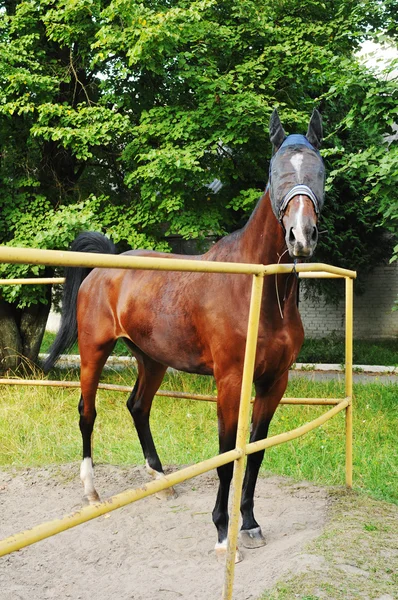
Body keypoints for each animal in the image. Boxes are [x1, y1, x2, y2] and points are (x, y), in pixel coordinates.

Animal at [44, 108, 324, 556]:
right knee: (87, 412)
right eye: (277, 170)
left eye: (319, 169)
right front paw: (222, 534)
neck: (258, 289)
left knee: (138, 407)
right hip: (94, 352)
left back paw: (161, 481)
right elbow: (226, 455)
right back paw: (91, 491)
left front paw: (249, 524)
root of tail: (103, 267)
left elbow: (255, 452)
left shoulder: (274, 382)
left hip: (151, 359)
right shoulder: (230, 381)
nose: (302, 236)